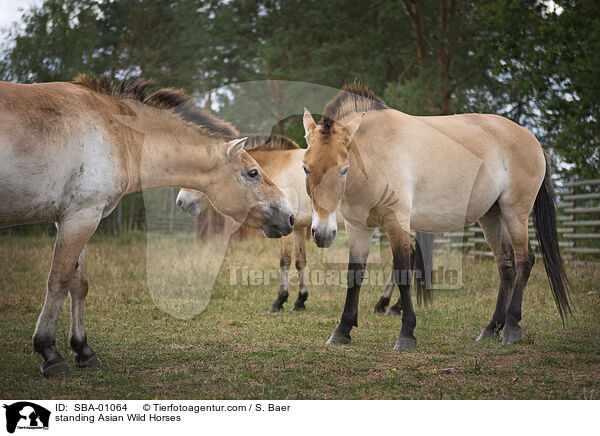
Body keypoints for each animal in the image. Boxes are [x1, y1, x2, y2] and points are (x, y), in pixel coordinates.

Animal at [0, 74, 296, 374]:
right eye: (253, 173)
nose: (290, 215)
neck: (118, 133)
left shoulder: (76, 217)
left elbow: (78, 285)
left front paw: (83, 350)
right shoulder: (80, 217)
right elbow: (58, 282)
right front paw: (49, 352)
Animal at [302, 84, 568, 350]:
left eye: (343, 169)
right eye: (306, 168)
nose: (322, 233)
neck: (374, 153)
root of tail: (533, 140)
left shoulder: (397, 222)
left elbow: (403, 268)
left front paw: (406, 333)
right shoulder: (357, 227)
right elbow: (354, 274)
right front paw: (342, 330)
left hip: (515, 212)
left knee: (525, 260)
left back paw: (512, 326)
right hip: (491, 216)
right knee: (506, 265)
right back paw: (491, 328)